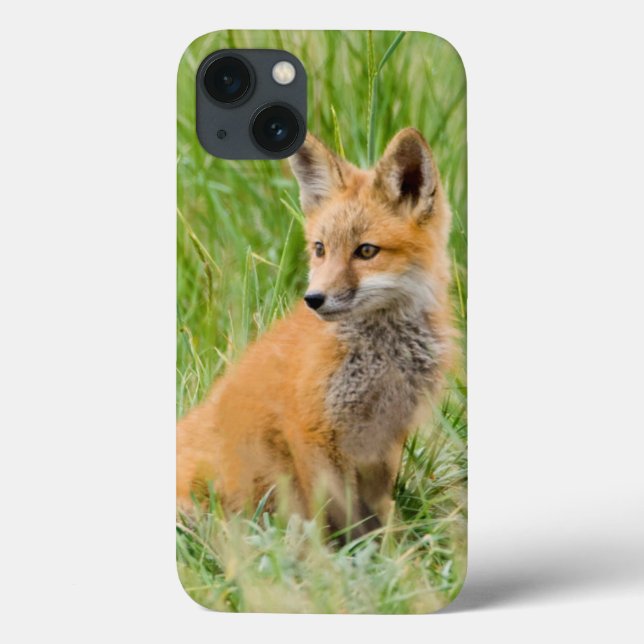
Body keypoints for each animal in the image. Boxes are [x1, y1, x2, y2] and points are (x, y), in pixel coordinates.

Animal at [177, 127, 455, 537]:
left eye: (366, 251)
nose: (313, 299)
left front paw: (391, 546)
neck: (382, 358)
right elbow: (335, 515)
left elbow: (377, 512)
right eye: (320, 249)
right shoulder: (311, 430)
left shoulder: (384, 437)